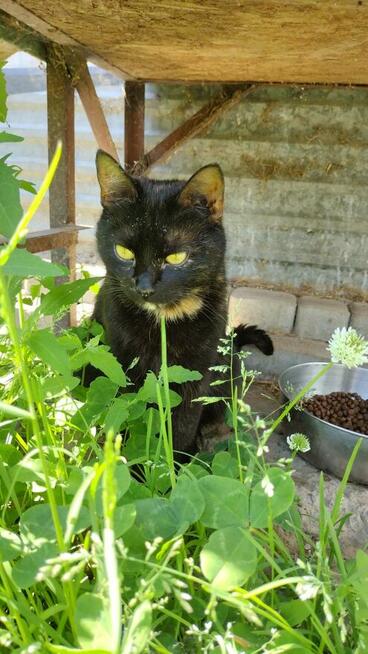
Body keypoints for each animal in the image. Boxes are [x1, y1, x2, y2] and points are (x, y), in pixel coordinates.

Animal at [91, 153, 272, 458]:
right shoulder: (123, 364)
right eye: (124, 252)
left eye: (176, 257)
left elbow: (183, 425)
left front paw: (173, 464)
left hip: (229, 365)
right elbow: (131, 414)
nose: (144, 288)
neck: (163, 323)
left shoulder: (197, 372)